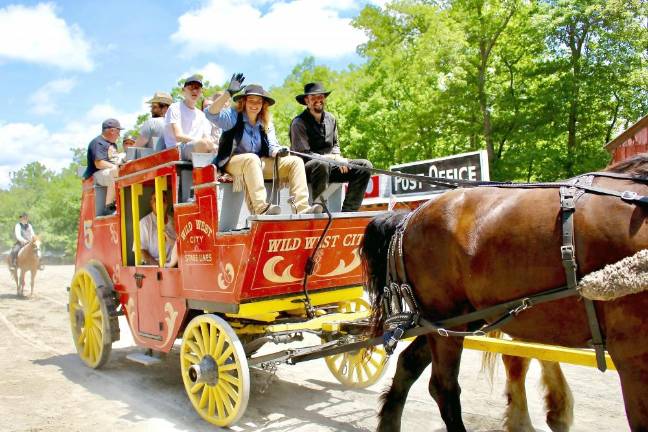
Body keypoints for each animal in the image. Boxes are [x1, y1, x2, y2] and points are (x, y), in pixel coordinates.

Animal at [362, 156, 648, 432]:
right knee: (443, 386)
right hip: (445, 317)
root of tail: (410, 216)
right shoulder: (632, 350)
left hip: (453, 320)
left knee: (408, 364)